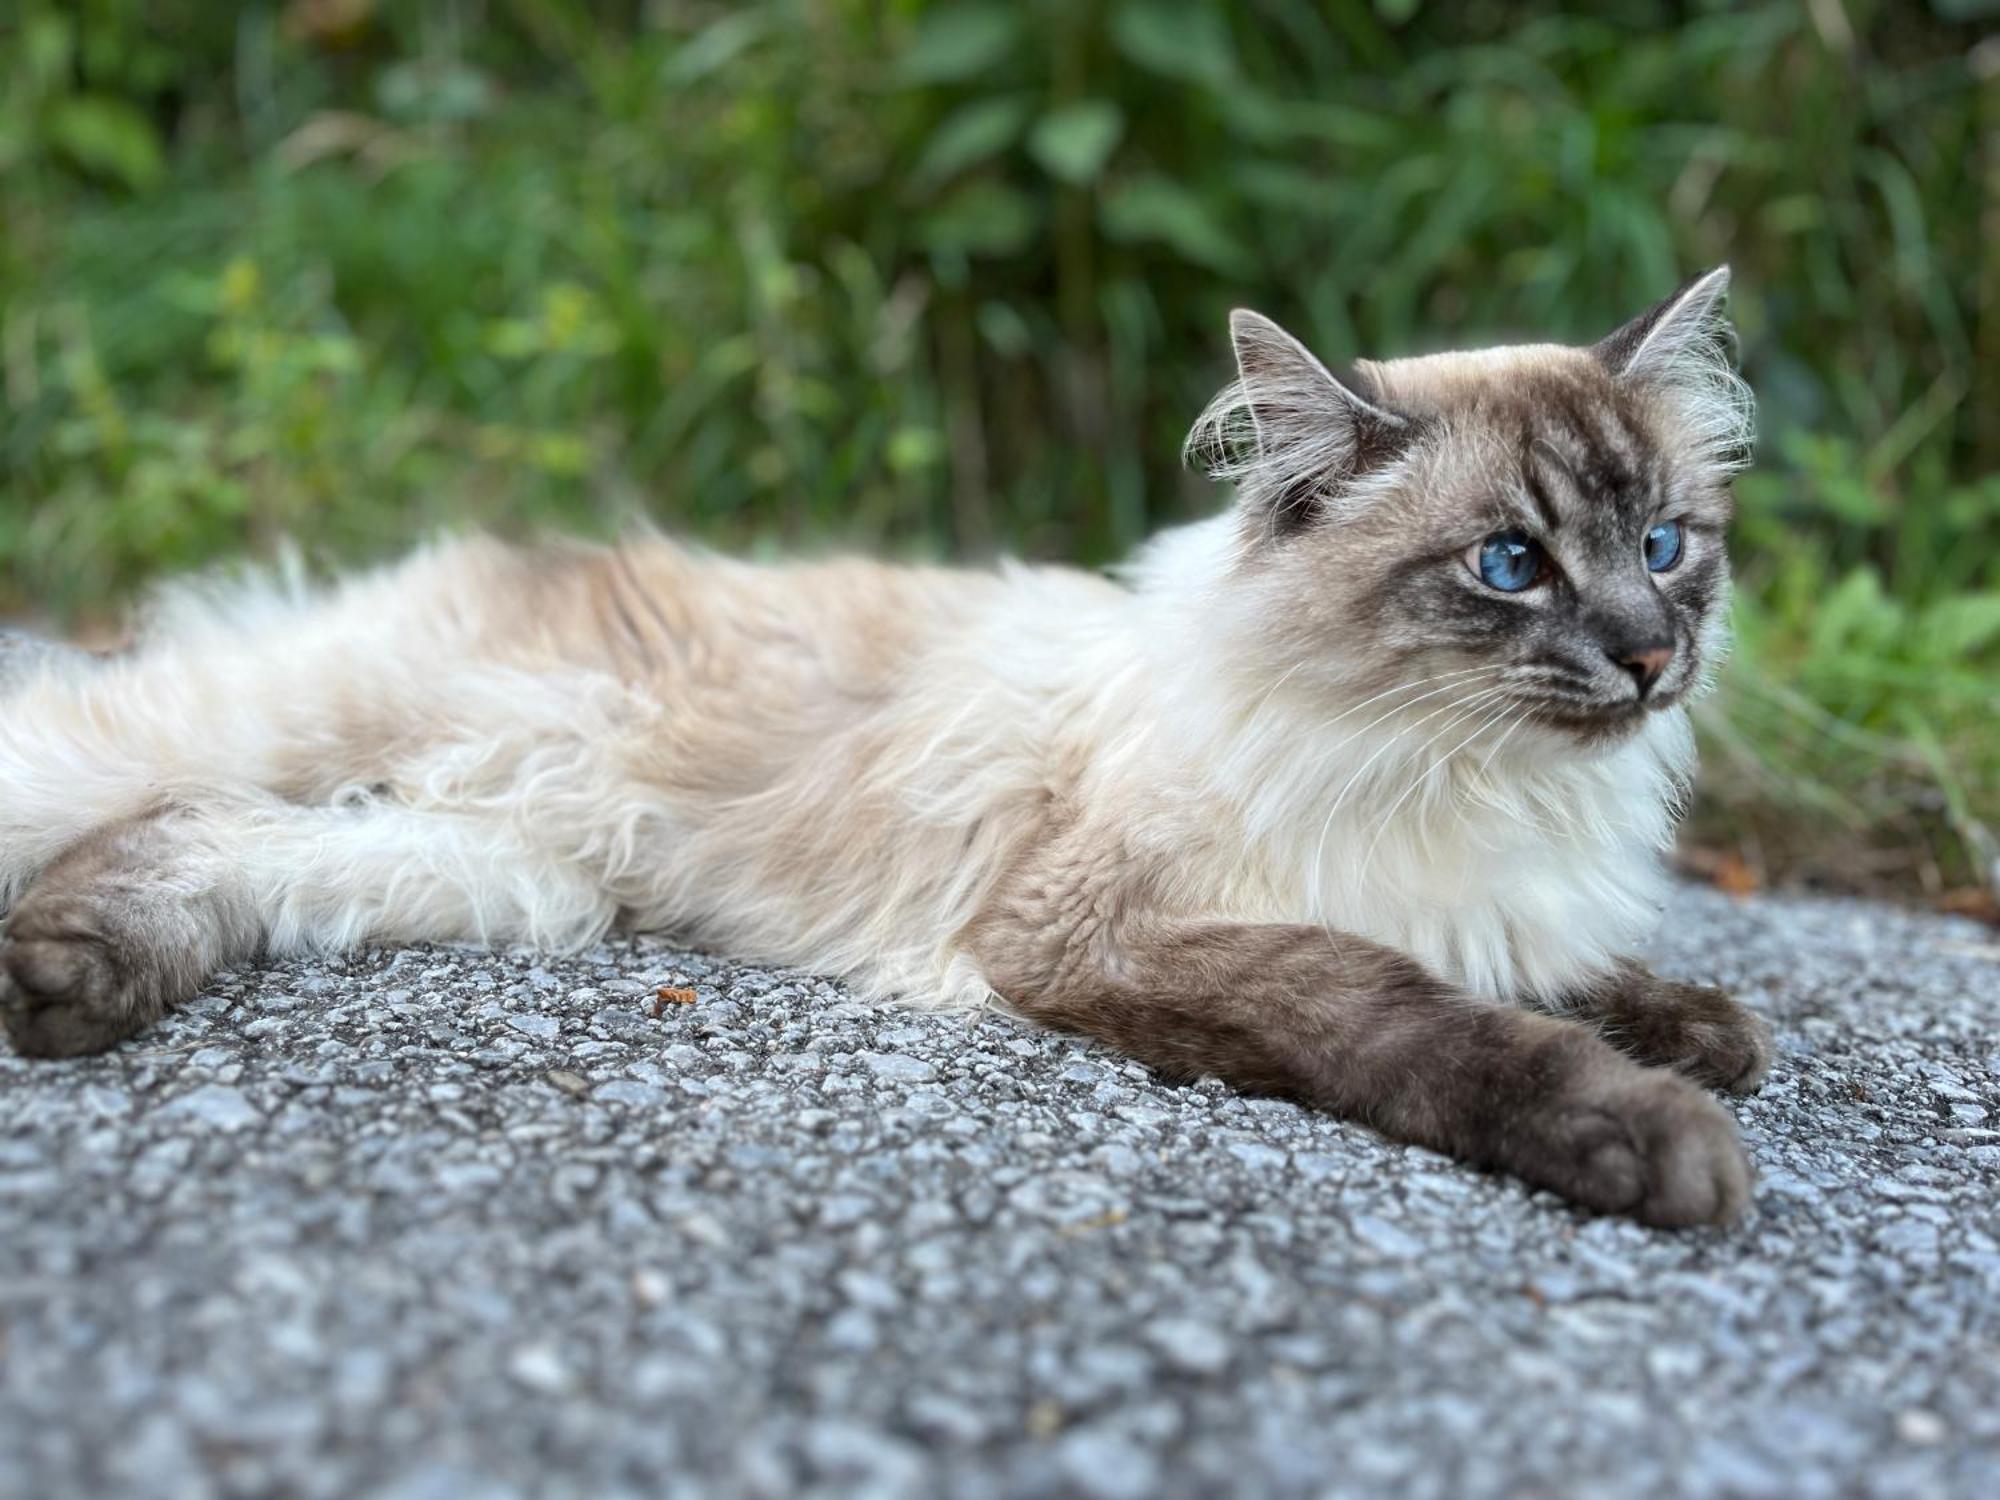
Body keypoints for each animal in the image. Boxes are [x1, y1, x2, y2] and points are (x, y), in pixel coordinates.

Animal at [0, 270, 1768, 1224]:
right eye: (1511, 565)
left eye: (1666, 545)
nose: (1650, 654)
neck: (1466, 772)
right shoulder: (1105, 934)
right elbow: (1415, 1015)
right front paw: (1661, 1139)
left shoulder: (1483, 904)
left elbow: (1583, 981)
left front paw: (1701, 1035)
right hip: (292, 748)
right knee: (113, 781)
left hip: (501, 873)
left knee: (191, 841)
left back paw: (67, 981)